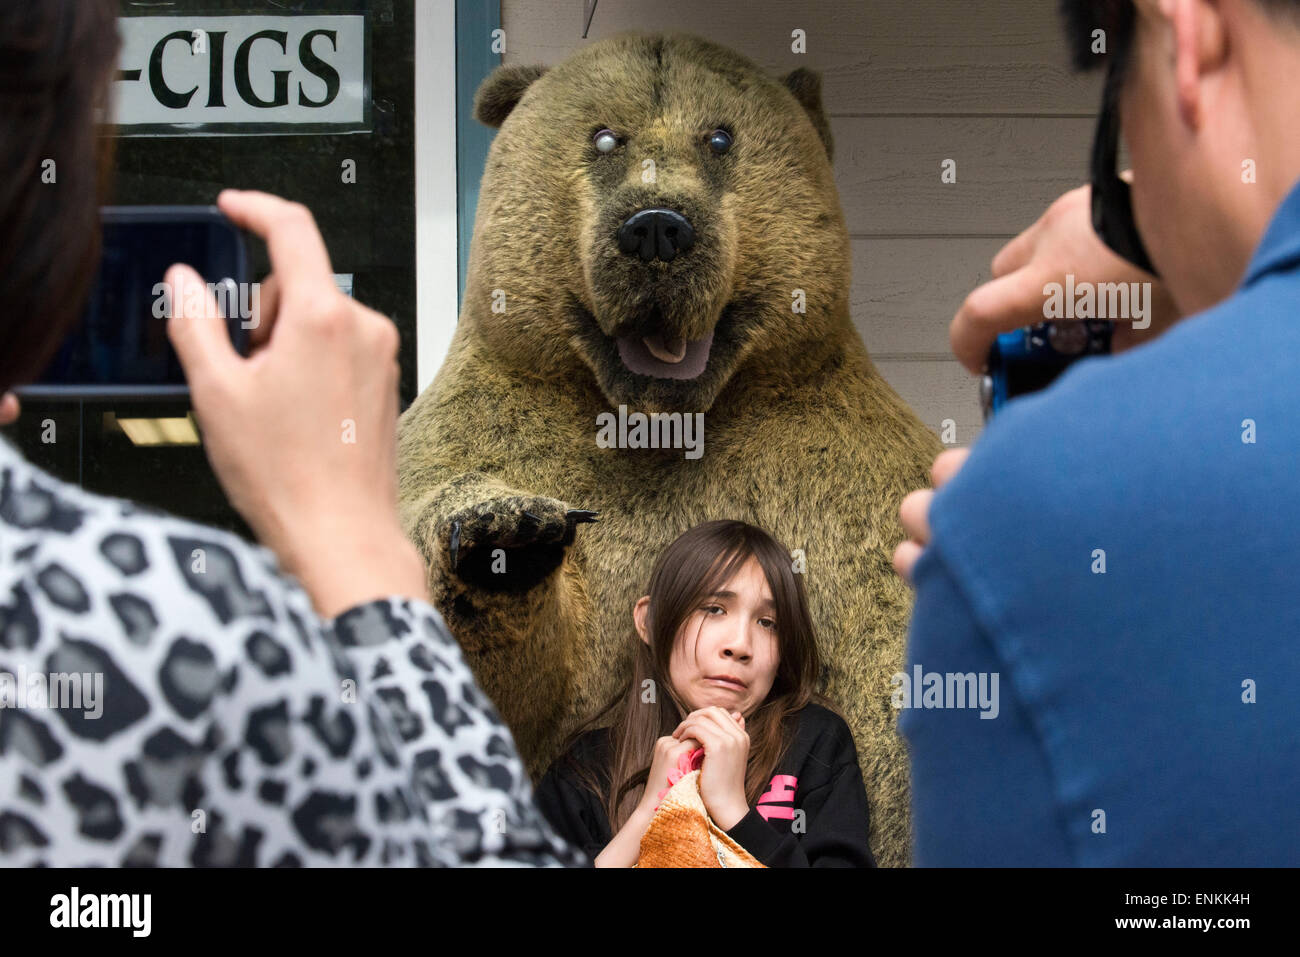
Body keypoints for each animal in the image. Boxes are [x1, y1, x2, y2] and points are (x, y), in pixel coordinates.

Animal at [396, 31, 943, 867]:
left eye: (720, 137)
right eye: (604, 137)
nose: (657, 228)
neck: (662, 417)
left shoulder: (848, 482)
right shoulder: (484, 430)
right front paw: (502, 535)